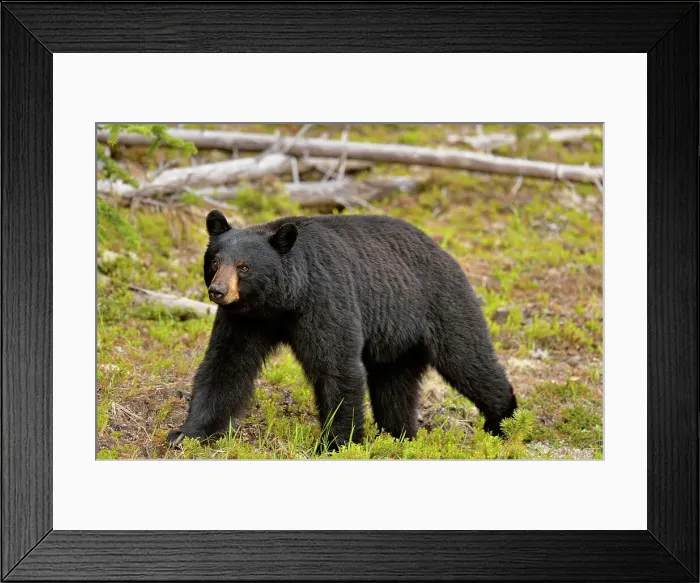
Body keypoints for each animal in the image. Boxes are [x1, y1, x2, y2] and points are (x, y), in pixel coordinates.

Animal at [167, 210, 517, 449]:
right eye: (215, 261)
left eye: (244, 267)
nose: (218, 291)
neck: (282, 301)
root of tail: (444, 252)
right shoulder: (246, 319)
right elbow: (226, 366)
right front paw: (187, 433)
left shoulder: (325, 298)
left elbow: (336, 366)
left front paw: (336, 443)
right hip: (396, 342)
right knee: (395, 387)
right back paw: (398, 434)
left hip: (441, 305)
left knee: (469, 360)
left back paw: (504, 421)